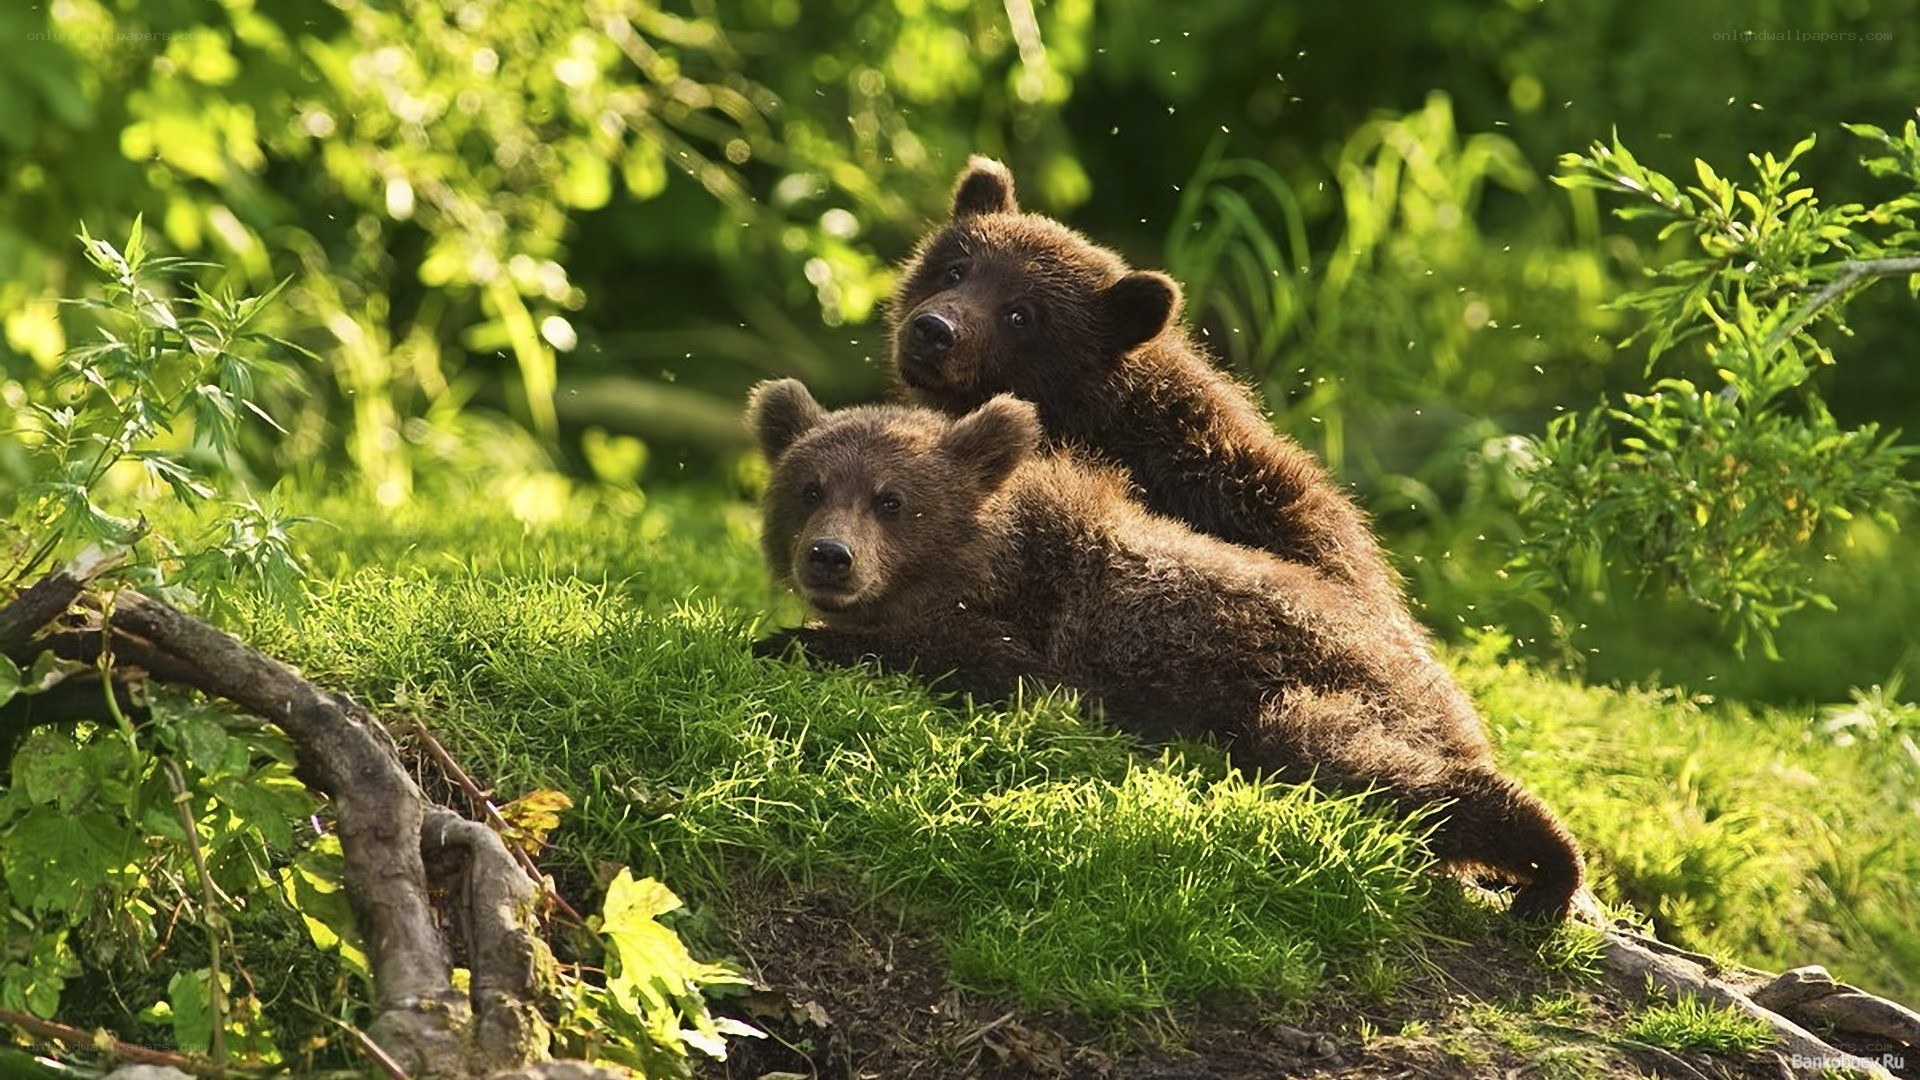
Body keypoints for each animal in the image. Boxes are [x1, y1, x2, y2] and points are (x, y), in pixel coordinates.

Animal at [747, 378, 1587, 922]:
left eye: (891, 500)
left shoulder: (1045, 638)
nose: (829, 557)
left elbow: (970, 660)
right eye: (809, 487)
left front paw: (787, 639)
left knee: (1367, 764)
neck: (986, 561)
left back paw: (1548, 865)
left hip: (1326, 689)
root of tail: (1450, 695)